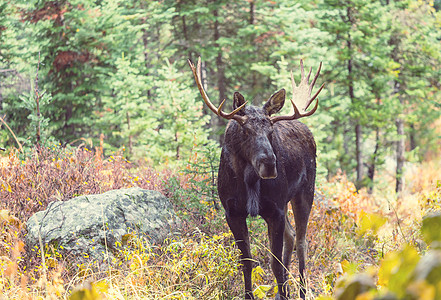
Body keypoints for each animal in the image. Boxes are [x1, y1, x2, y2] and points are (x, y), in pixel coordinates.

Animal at [186, 57, 324, 298]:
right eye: (245, 131)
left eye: (271, 131)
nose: (269, 164)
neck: (248, 182)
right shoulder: (232, 211)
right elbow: (247, 261)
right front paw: (251, 294)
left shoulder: (275, 210)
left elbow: (275, 263)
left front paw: (285, 293)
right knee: (291, 236)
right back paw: (282, 291)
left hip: (305, 192)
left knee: (301, 241)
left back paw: (301, 292)